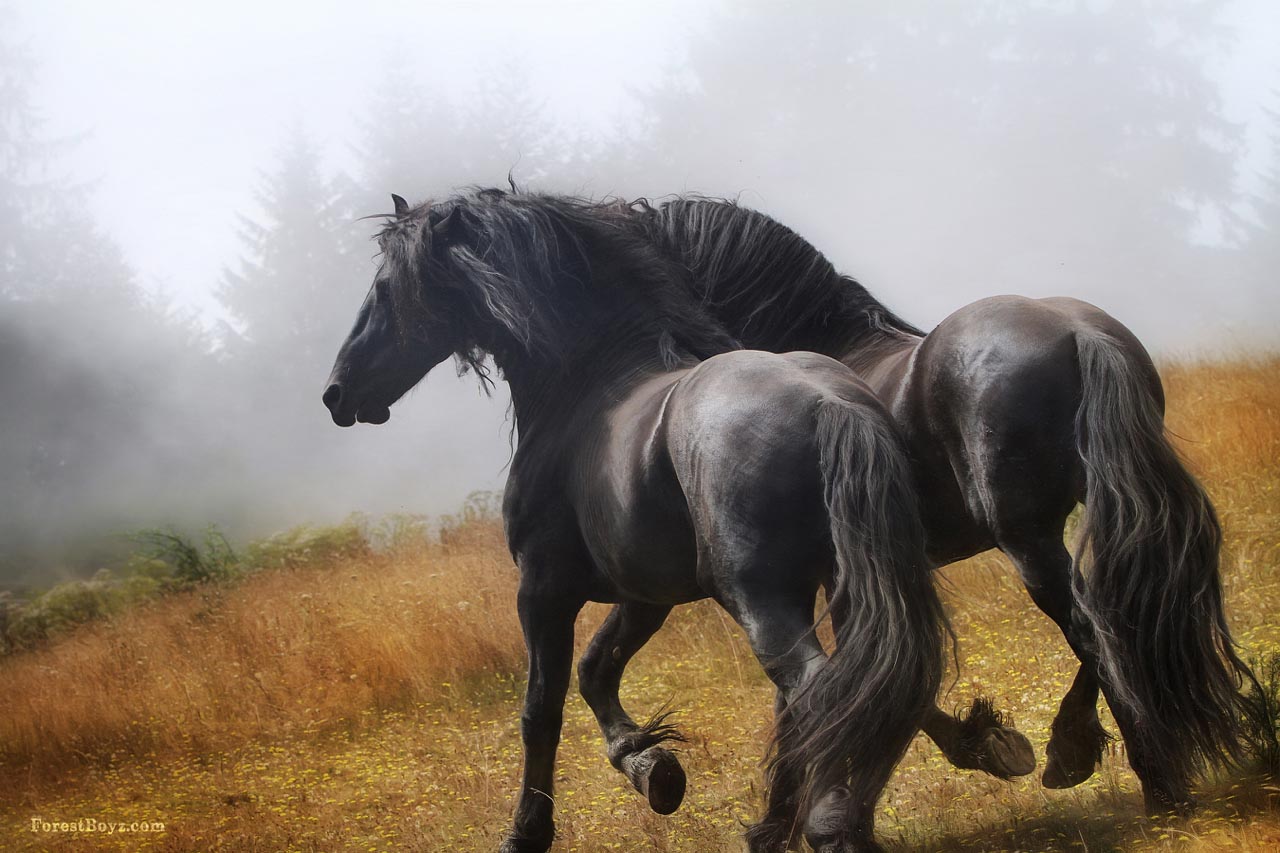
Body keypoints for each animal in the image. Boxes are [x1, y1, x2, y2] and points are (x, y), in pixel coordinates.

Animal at [325, 190, 947, 850]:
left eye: (385, 288)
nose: (337, 393)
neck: (588, 386)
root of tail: (827, 403)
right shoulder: (647, 595)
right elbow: (597, 670)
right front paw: (652, 768)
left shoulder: (543, 588)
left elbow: (540, 709)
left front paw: (528, 831)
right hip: (846, 583)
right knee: (869, 686)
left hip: (760, 596)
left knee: (819, 693)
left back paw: (828, 827)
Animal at [622, 194, 1259, 809]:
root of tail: (1080, 332)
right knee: (1114, 609)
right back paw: (1089, 754)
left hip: (1026, 537)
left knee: (1088, 622)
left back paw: (1136, 774)